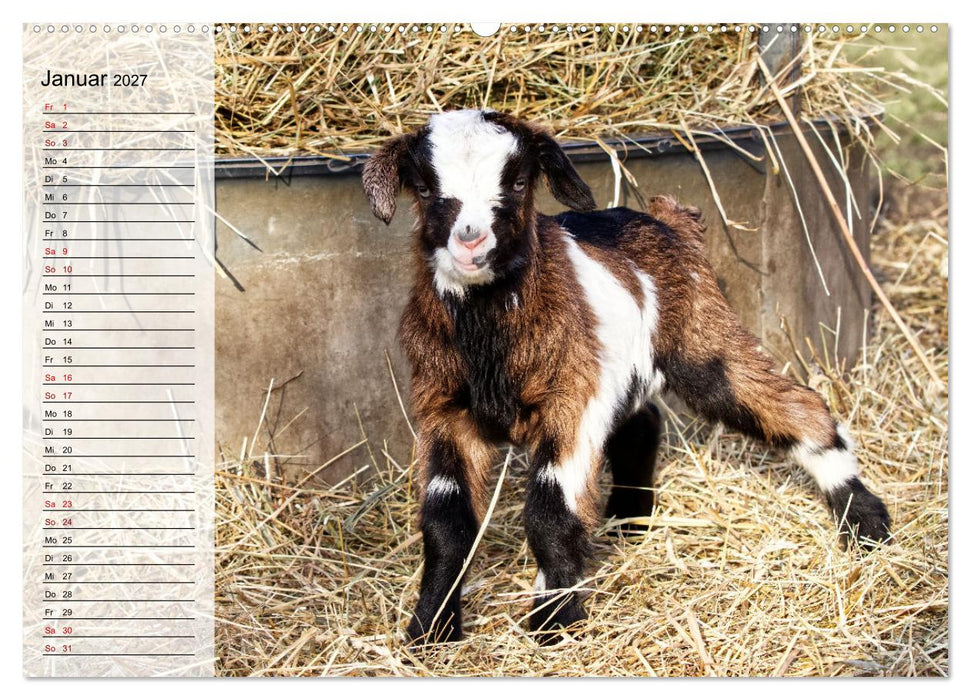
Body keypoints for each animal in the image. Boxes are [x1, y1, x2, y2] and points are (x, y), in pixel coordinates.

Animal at [362, 109, 891, 645]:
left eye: (517, 182)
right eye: (424, 187)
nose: (471, 242)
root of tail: (667, 219)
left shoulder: (571, 402)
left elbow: (551, 513)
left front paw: (555, 623)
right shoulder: (445, 410)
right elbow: (446, 525)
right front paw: (430, 628)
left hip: (702, 343)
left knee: (795, 406)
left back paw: (865, 519)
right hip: (623, 372)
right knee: (643, 420)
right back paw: (630, 517)